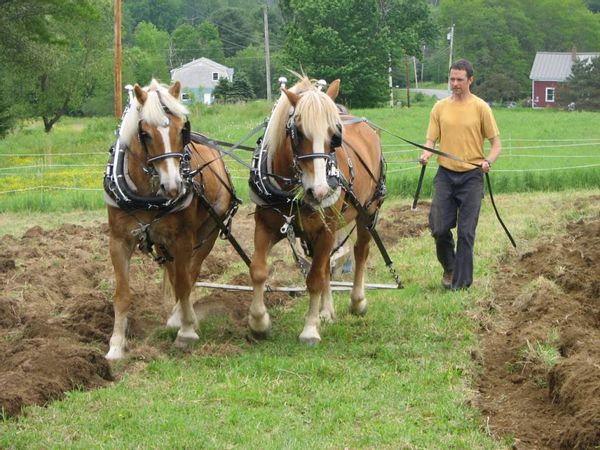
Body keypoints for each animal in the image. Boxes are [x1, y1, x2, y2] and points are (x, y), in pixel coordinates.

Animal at [103, 79, 237, 360]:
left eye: (182, 129)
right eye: (145, 133)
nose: (174, 185)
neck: (147, 196)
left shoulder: (183, 239)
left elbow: (185, 284)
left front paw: (186, 332)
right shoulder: (118, 240)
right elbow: (122, 294)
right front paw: (116, 346)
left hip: (208, 232)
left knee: (191, 273)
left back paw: (182, 318)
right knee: (176, 276)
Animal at [247, 74, 384, 344]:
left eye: (335, 135)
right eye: (298, 132)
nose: (319, 192)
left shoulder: (325, 229)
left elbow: (315, 278)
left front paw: (310, 329)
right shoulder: (266, 225)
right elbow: (258, 270)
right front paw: (259, 322)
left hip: (368, 211)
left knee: (360, 251)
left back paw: (357, 301)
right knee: (327, 264)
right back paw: (327, 311)